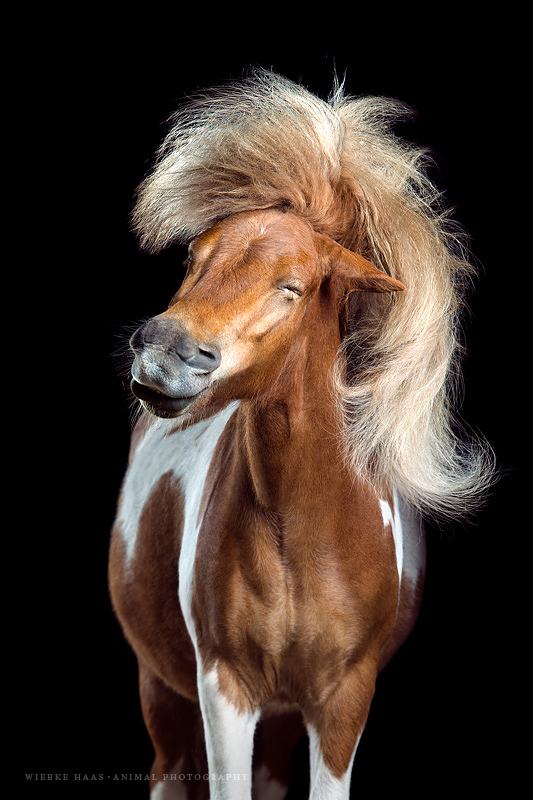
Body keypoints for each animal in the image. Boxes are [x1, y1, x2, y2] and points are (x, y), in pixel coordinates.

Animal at [109, 71, 493, 799]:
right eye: (195, 258)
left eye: (290, 286)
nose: (164, 354)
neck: (300, 533)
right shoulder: (223, 689)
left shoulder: (342, 702)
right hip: (159, 688)